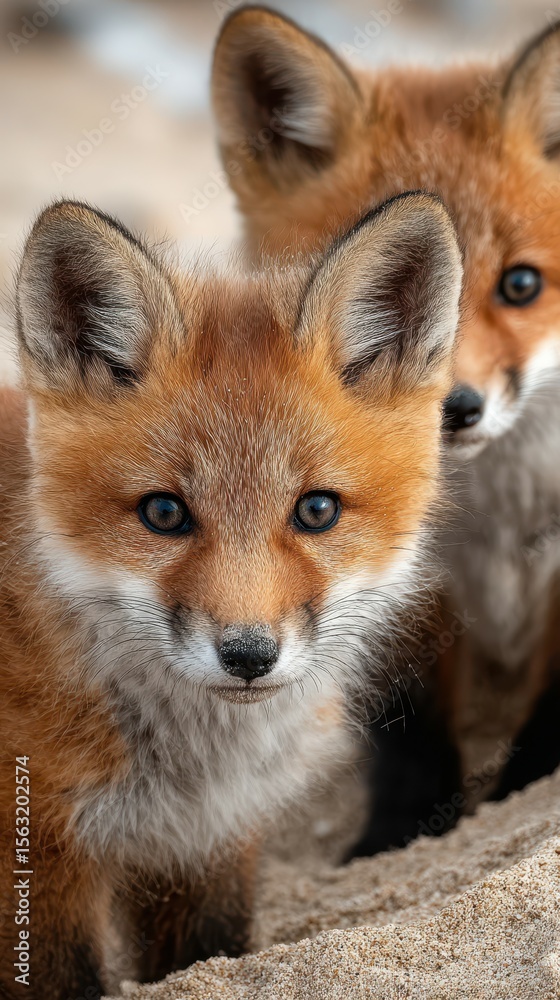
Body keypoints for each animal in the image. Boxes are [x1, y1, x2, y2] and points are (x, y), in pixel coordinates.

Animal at [0, 194, 462, 998]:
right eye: (163, 513)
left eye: (317, 510)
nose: (248, 655)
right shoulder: (39, 862)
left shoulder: (203, 847)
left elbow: (212, 957)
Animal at [212, 10, 560, 851]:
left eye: (521, 284)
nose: (452, 407)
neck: (494, 513)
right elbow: (408, 725)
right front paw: (399, 833)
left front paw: (524, 793)